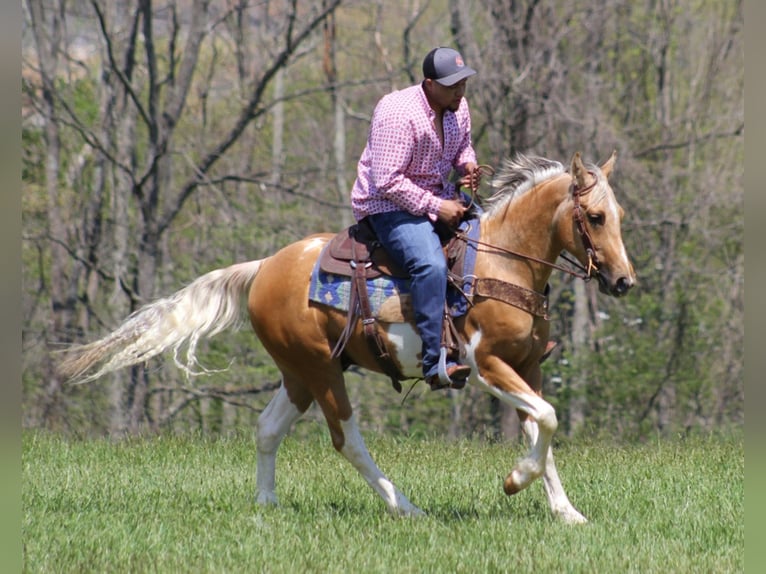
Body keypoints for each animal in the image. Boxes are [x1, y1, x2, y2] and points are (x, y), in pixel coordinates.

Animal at [60, 152, 636, 528]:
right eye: (595, 217)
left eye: (620, 217)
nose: (623, 281)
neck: (503, 263)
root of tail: (263, 267)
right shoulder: (488, 364)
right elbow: (548, 419)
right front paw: (515, 481)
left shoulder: (528, 366)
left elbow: (543, 430)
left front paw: (567, 512)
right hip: (321, 371)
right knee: (347, 440)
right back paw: (406, 507)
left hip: (298, 372)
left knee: (268, 429)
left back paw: (267, 506)